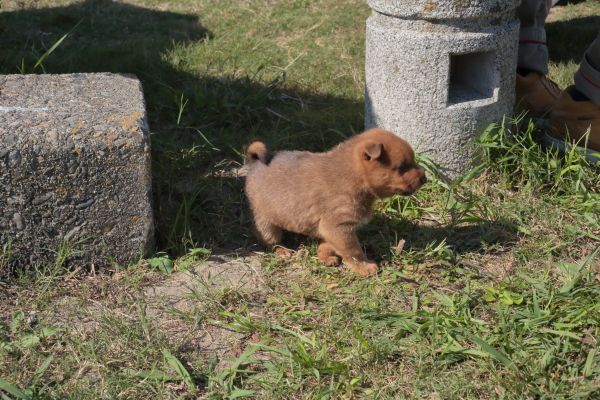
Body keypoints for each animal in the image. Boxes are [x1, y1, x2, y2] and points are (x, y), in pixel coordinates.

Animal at [245, 128, 426, 276]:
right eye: (402, 167)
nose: (425, 178)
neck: (355, 177)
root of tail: (255, 163)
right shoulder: (338, 226)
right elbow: (354, 251)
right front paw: (364, 267)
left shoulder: (332, 228)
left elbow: (328, 245)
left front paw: (325, 256)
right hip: (265, 219)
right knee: (269, 239)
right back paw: (282, 251)